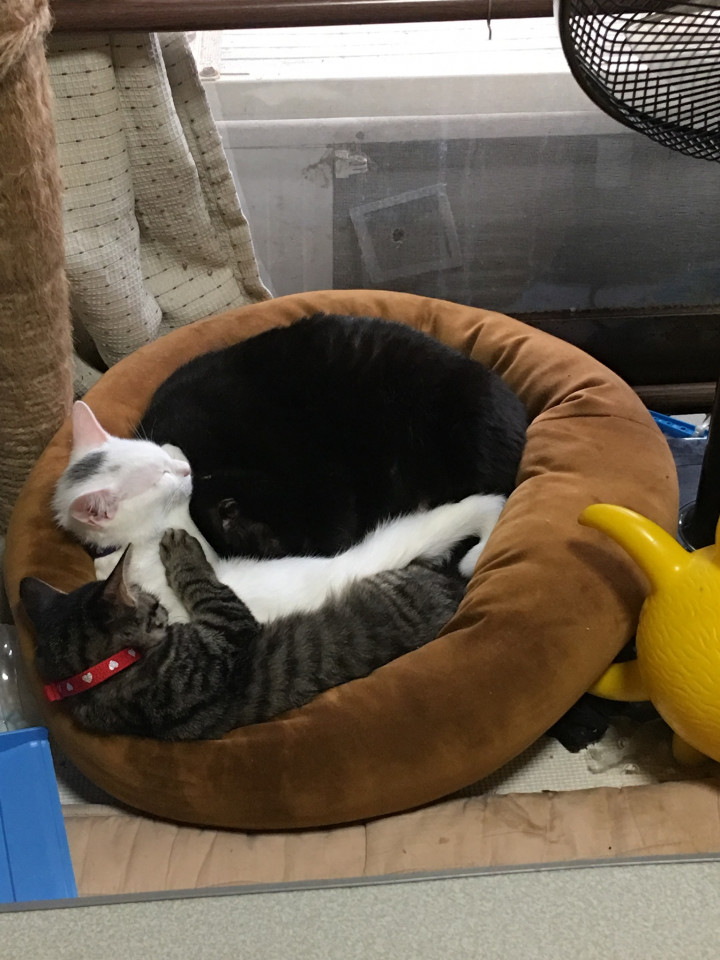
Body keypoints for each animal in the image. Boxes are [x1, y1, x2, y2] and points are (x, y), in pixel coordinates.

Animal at [21, 528, 469, 740]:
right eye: (155, 606)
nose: (163, 611)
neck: (101, 676)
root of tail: (454, 592)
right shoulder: (232, 626)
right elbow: (202, 582)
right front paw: (182, 547)